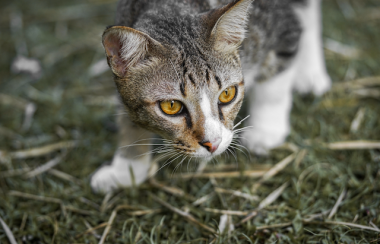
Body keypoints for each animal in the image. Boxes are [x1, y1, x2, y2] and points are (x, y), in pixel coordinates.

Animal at [89, 0, 330, 193]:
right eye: (171, 106)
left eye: (227, 94)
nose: (213, 144)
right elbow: (127, 116)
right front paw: (126, 170)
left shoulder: (281, 28)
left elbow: (273, 87)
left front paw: (265, 132)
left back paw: (310, 73)